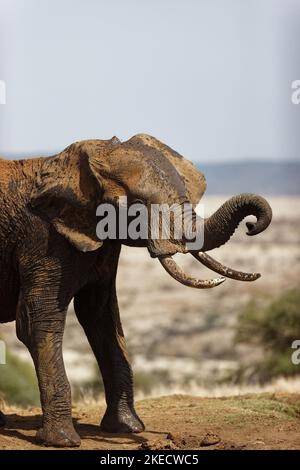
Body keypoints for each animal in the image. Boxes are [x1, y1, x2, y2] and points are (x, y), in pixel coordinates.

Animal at [0, 134, 272, 446]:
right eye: (138, 206)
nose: (252, 225)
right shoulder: (42, 240)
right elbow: (38, 321)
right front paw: (61, 441)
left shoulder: (103, 243)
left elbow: (101, 316)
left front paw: (127, 428)